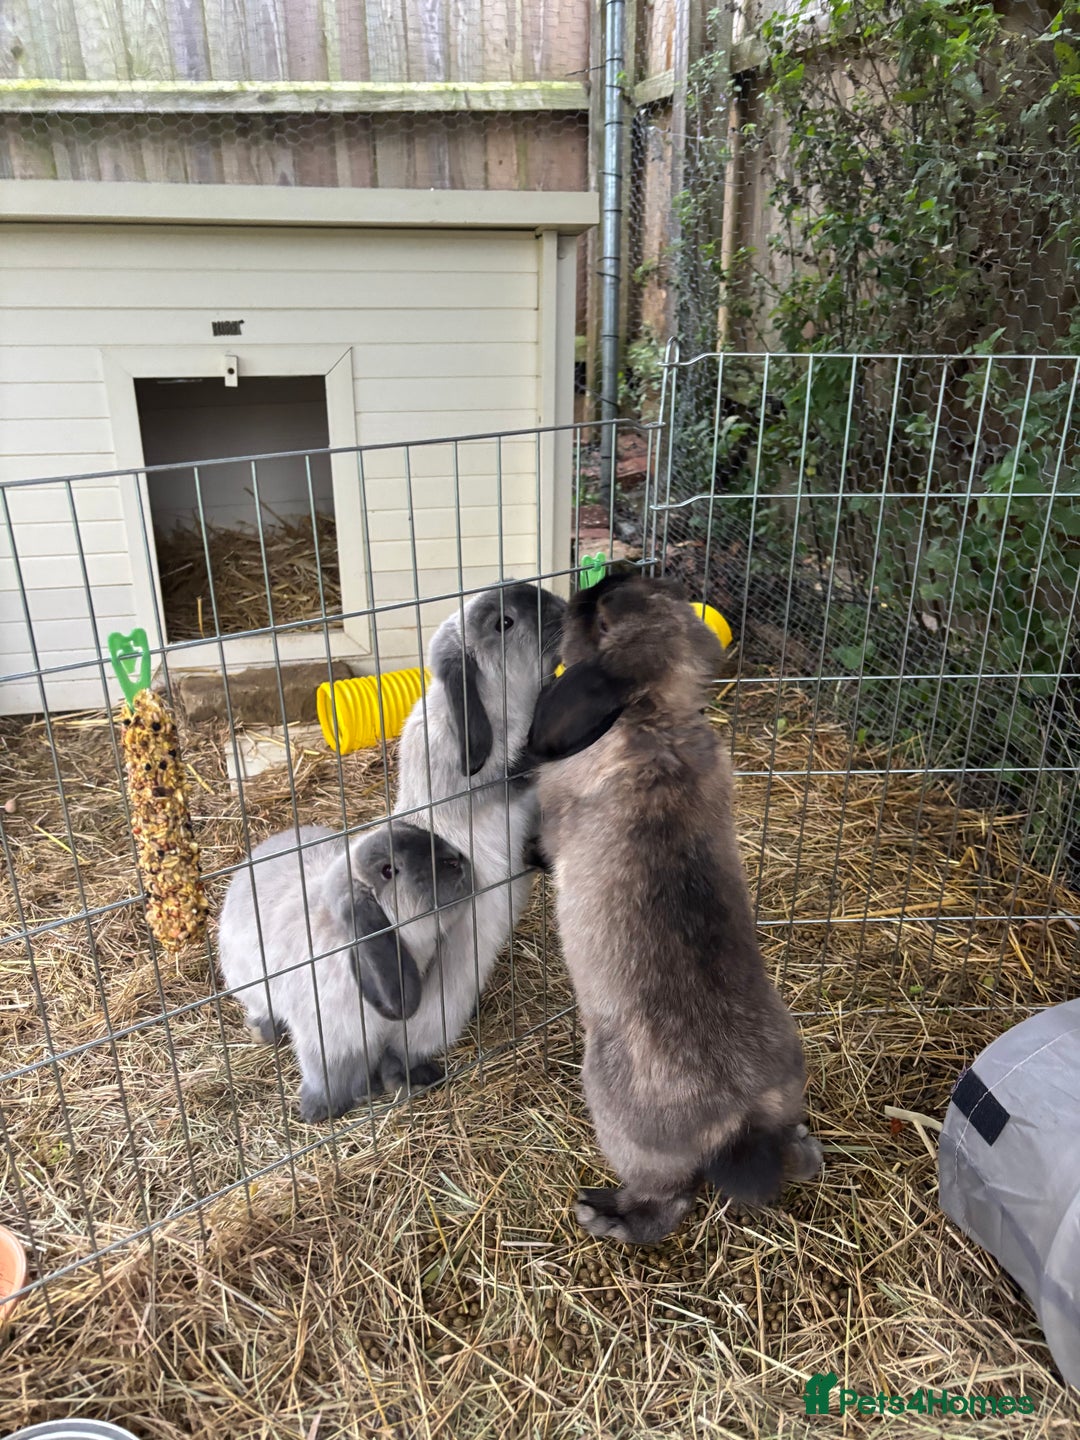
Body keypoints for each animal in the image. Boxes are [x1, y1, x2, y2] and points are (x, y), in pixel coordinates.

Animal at [217, 819, 473, 1121]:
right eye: (388, 871)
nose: (456, 860)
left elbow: (398, 1056)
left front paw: (410, 1081)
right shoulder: (330, 1038)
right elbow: (330, 1073)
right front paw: (322, 1108)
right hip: (249, 985)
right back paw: (262, 1031)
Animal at [525, 565, 823, 1244]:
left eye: (604, 614)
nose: (582, 593)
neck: (654, 721)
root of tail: (739, 1122)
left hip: (618, 1112)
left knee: (667, 1203)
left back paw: (606, 1215)